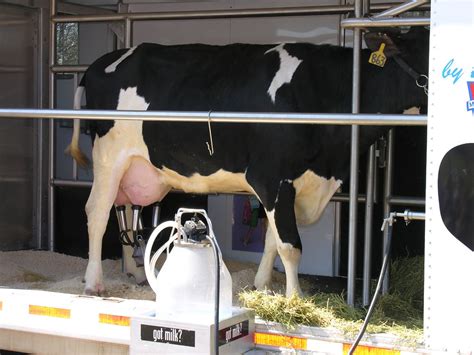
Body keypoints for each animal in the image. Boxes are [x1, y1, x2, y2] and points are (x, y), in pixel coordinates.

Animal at [69, 26, 430, 296]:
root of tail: (99, 63)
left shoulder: (289, 185)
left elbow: (271, 240)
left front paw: (262, 287)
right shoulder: (272, 177)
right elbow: (290, 244)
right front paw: (296, 301)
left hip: (133, 167)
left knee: (124, 212)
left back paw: (134, 272)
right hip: (108, 158)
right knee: (97, 212)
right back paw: (94, 282)